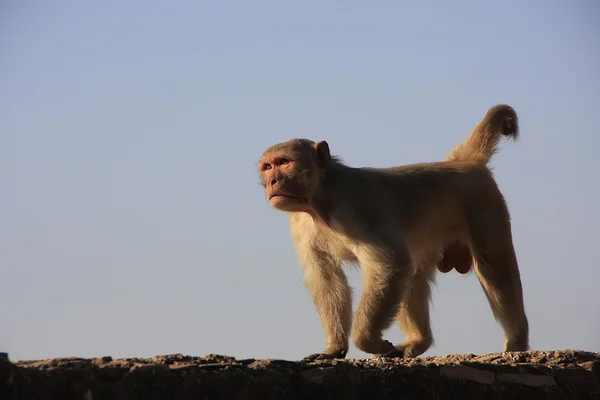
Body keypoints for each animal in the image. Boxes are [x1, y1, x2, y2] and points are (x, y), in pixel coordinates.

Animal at [258, 104, 528, 360]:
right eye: (268, 166)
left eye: (284, 162)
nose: (272, 182)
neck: (320, 199)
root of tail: (463, 162)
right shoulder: (301, 224)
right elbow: (327, 279)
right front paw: (334, 348)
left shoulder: (356, 206)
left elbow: (387, 264)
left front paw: (367, 341)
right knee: (414, 273)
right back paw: (419, 341)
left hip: (483, 205)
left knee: (493, 268)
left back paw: (517, 341)